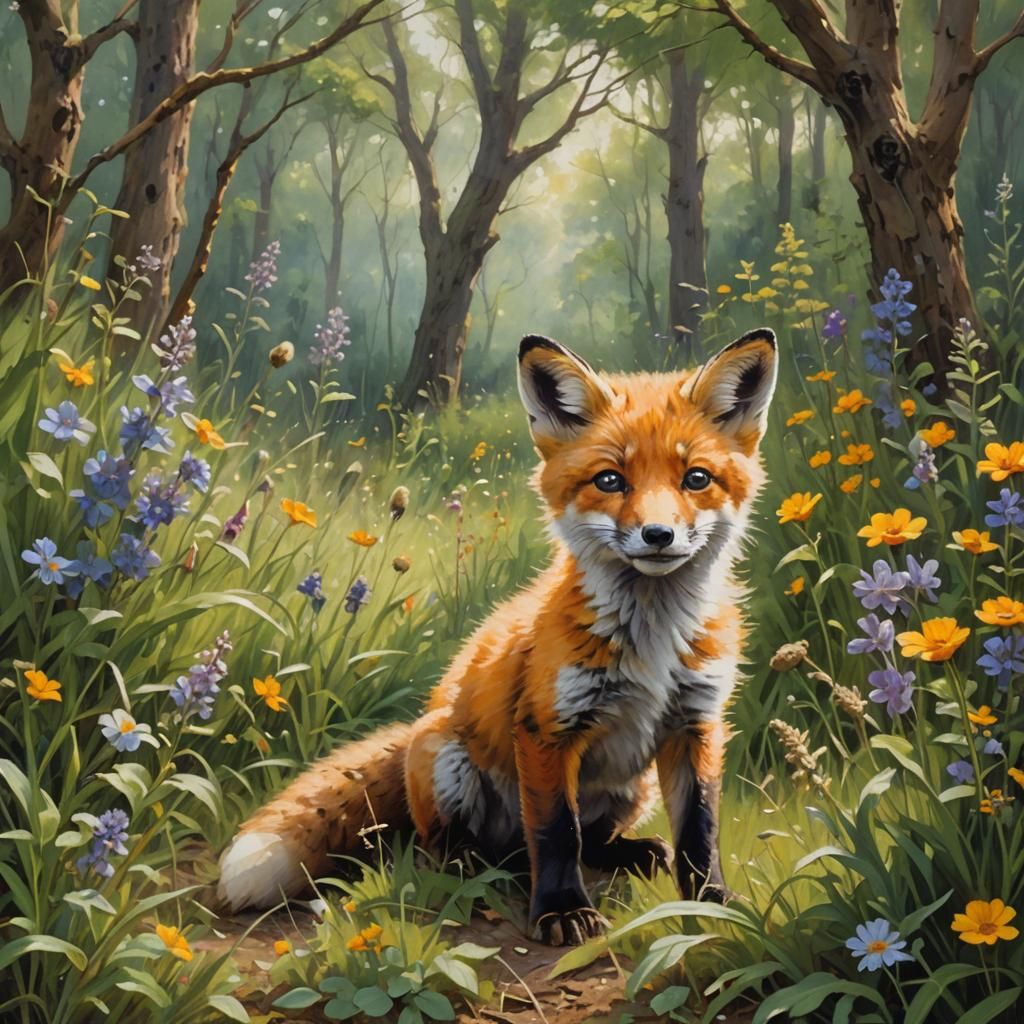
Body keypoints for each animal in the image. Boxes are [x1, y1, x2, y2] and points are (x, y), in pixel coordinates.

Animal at [217, 328, 778, 945]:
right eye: (610, 480)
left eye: (695, 478)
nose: (659, 535)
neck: (652, 642)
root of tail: (418, 726)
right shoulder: (546, 729)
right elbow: (556, 830)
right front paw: (561, 910)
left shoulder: (696, 725)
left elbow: (700, 830)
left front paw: (713, 904)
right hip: (448, 762)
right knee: (458, 846)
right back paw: (481, 865)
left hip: (635, 787)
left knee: (591, 842)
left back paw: (627, 853)